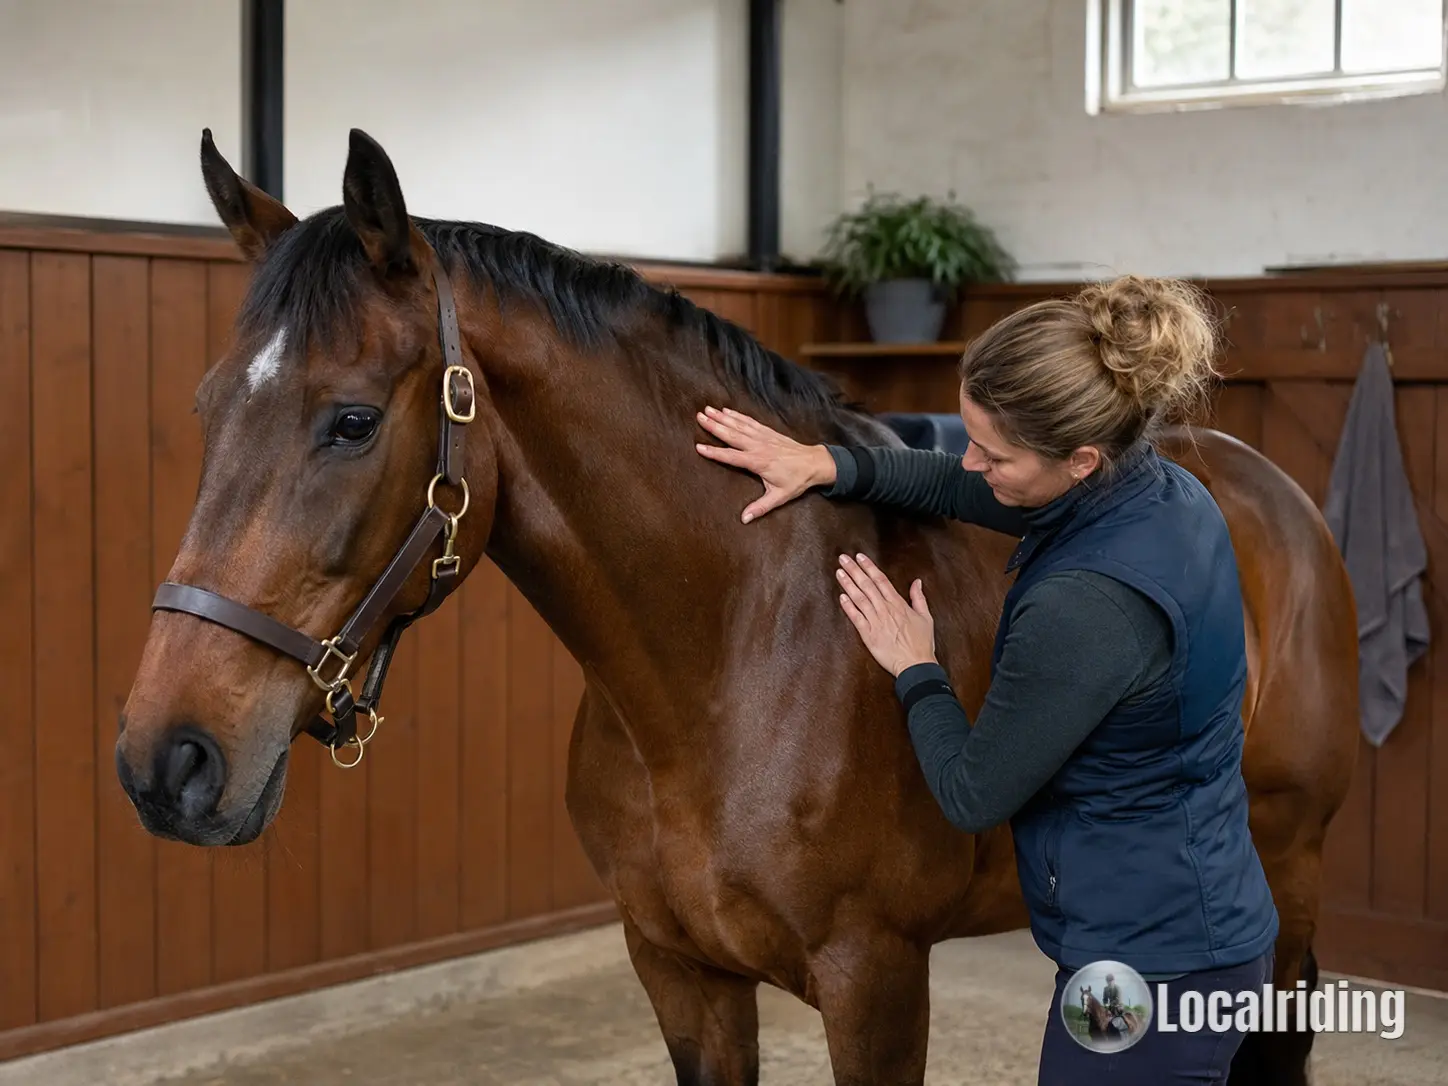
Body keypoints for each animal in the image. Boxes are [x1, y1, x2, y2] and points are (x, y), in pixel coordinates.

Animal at [116, 128, 1359, 1086]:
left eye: (353, 420)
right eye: (207, 404)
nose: (165, 762)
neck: (729, 660)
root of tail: (1268, 491)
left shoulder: (874, 985)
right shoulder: (680, 973)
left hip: (1285, 876)